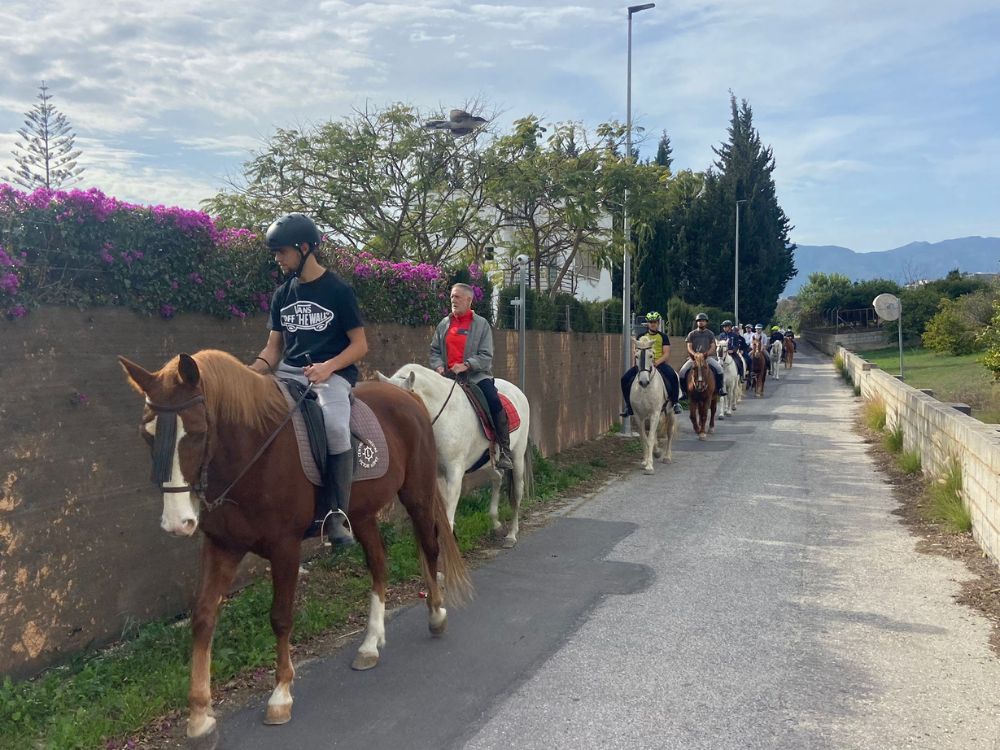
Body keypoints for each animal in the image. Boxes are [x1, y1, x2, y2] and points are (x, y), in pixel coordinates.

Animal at [120, 352, 472, 748]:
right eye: (146, 433)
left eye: (195, 431)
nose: (177, 523)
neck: (253, 450)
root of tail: (408, 396)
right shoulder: (222, 546)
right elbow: (203, 618)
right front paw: (199, 719)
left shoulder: (285, 548)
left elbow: (280, 617)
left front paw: (280, 696)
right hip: (362, 515)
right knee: (379, 565)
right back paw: (369, 644)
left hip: (418, 495)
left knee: (430, 546)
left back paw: (437, 615)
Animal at [376, 364, 532, 548]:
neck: (444, 417)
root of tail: (518, 392)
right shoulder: (437, 474)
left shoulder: (454, 472)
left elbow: (449, 512)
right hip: (489, 461)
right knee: (497, 478)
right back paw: (496, 523)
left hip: (517, 457)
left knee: (516, 494)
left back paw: (511, 535)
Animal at [628, 340, 676, 476]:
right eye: (636, 356)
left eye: (651, 355)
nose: (644, 382)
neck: (645, 390)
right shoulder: (639, 416)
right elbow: (644, 438)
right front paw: (645, 461)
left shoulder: (655, 413)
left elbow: (650, 438)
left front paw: (649, 467)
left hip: (670, 412)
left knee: (669, 432)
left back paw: (667, 457)